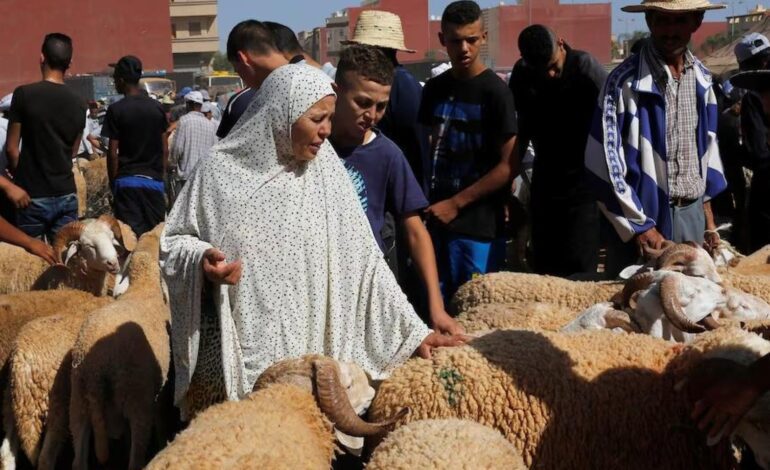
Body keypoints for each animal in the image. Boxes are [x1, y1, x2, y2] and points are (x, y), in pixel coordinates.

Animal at [69, 224, 174, 470]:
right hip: (137, 400)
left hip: (78, 404)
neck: (145, 286)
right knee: (135, 460)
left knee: (78, 459)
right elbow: (161, 420)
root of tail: (95, 368)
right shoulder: (158, 392)